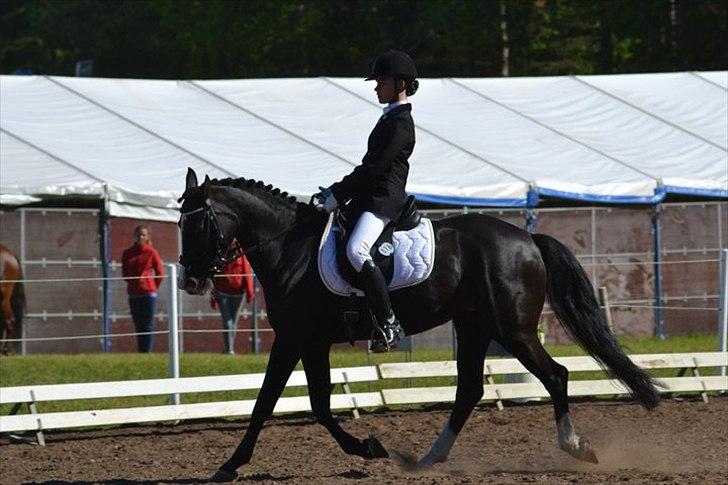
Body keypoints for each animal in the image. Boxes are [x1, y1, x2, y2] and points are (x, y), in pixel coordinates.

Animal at [176, 168, 660, 478]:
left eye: (197, 224)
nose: (191, 281)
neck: (289, 249)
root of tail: (526, 238)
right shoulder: (311, 343)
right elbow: (316, 405)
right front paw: (368, 448)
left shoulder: (295, 339)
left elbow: (267, 403)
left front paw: (230, 466)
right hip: (475, 327)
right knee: (470, 390)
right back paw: (426, 460)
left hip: (513, 330)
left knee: (555, 376)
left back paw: (576, 447)